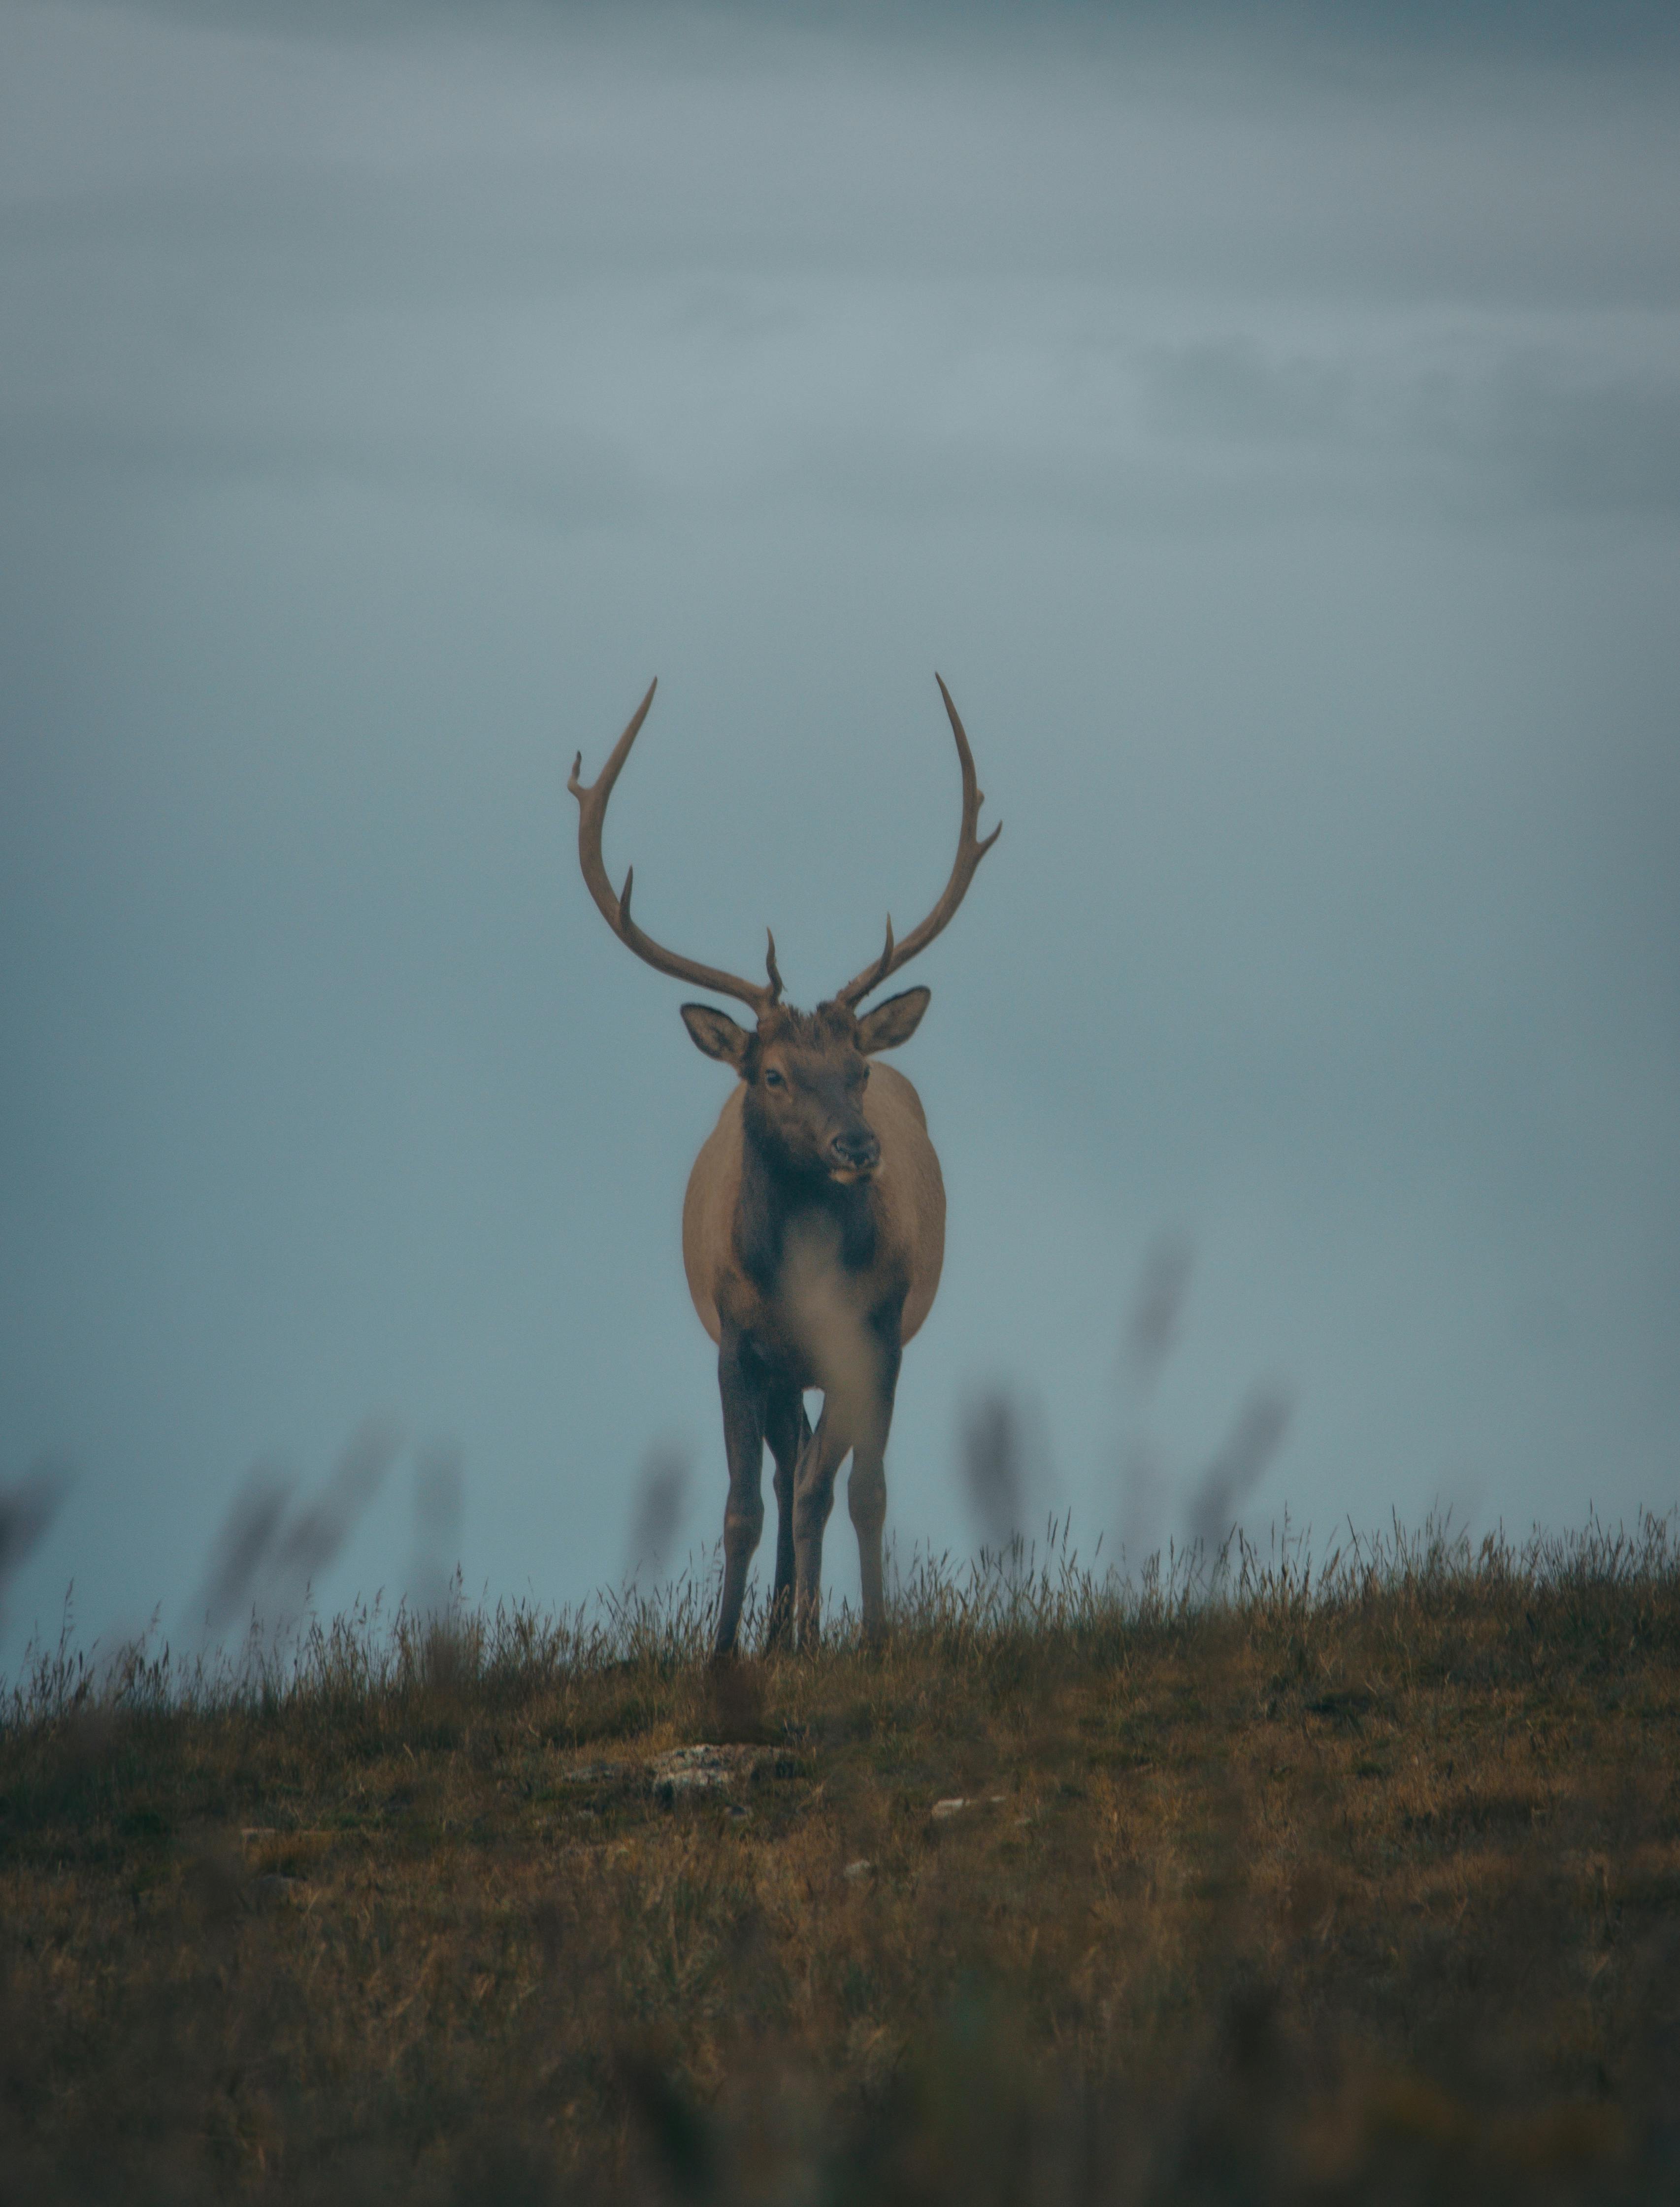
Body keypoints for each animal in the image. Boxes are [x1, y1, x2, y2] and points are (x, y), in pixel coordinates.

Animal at [569, 680, 1002, 1650]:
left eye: (859, 1071)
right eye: (772, 1074)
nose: (859, 1147)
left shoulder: (875, 1333)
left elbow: (854, 1491)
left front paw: (863, 1637)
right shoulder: (737, 1343)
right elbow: (740, 1506)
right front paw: (725, 1649)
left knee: (821, 1479)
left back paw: (805, 1629)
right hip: (778, 1369)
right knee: (783, 1471)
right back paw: (775, 1631)